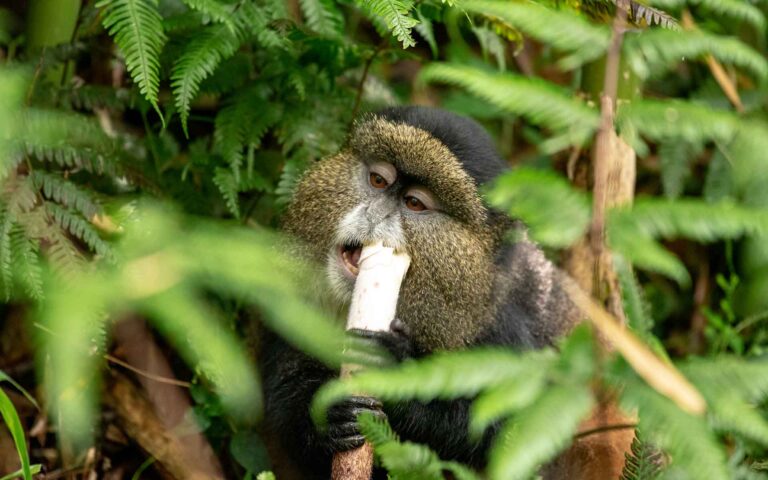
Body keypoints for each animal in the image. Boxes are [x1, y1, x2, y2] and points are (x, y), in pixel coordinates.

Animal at [261, 106, 579, 478]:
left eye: (414, 203)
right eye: (378, 181)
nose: (375, 214)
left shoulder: (507, 333)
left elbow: (510, 437)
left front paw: (394, 372)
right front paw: (330, 417)